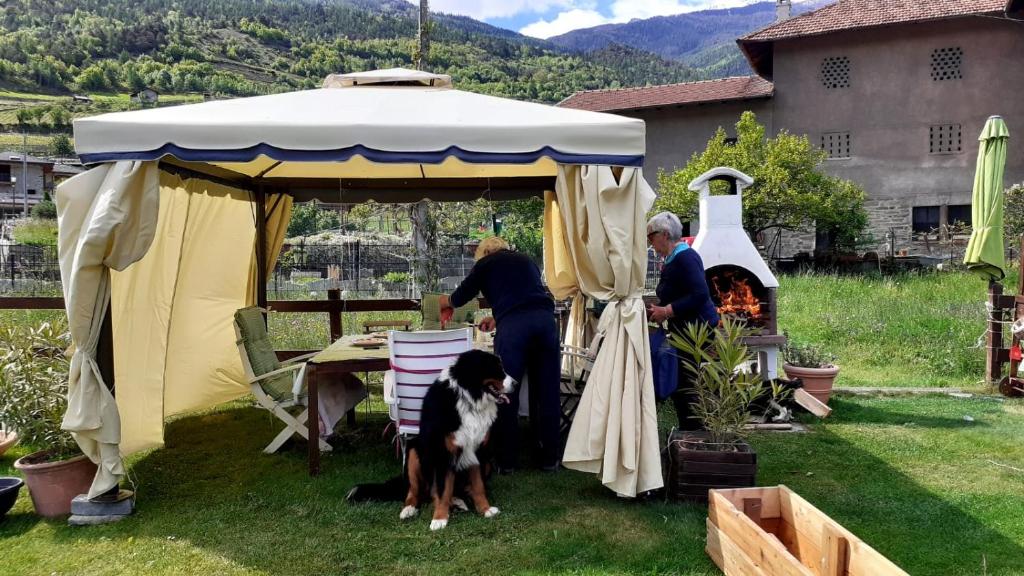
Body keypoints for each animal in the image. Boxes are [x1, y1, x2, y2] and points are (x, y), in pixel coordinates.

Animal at [348, 344, 516, 528]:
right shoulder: (442, 453)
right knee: (416, 492)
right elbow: (442, 490)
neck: (469, 401)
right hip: (414, 452)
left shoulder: (478, 451)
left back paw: (458, 501)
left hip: (486, 464)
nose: (516, 383)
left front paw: (485, 509)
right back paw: (409, 510)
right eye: (496, 368)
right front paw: (439, 519)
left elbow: (478, 485)